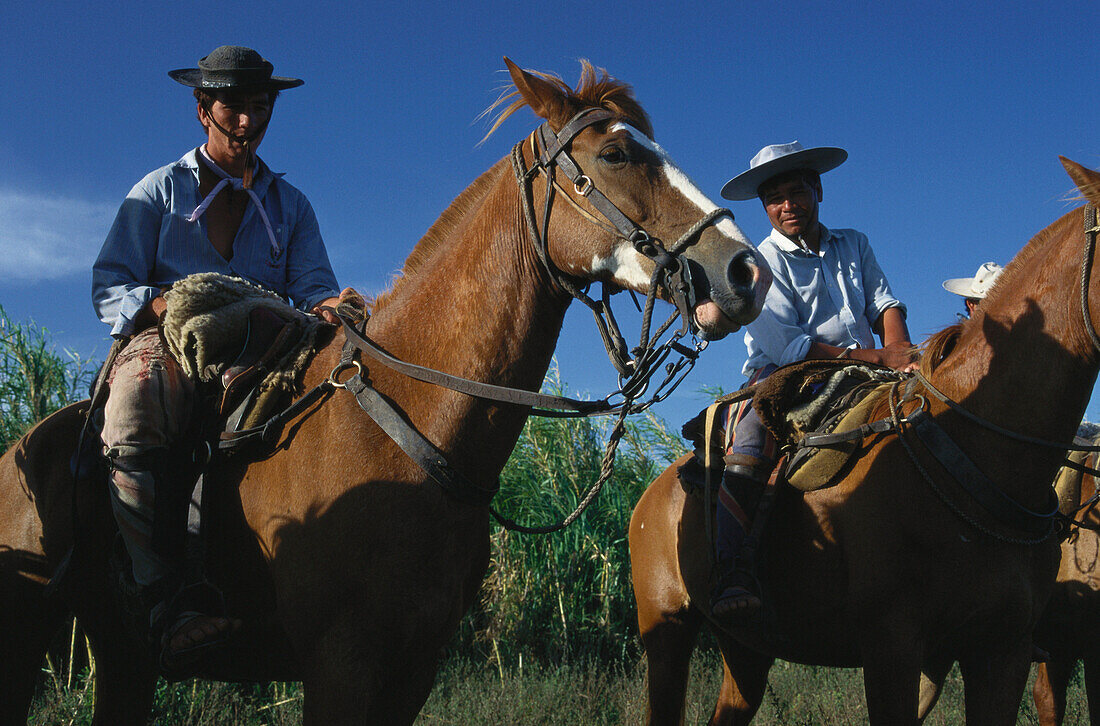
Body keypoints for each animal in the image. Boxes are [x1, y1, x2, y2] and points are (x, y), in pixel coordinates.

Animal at [0, 62, 770, 726]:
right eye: (615, 154)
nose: (745, 271)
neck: (409, 430)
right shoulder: (339, 665)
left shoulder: (413, 668)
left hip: (123, 655)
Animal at [629, 158, 1100, 726]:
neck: (974, 456)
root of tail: (651, 495)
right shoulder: (890, 648)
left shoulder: (1003, 650)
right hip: (666, 630)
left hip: (745, 647)